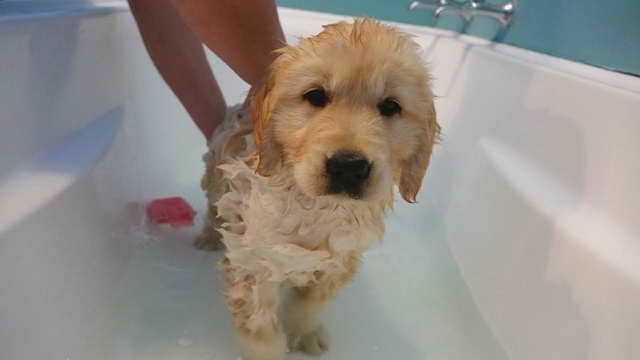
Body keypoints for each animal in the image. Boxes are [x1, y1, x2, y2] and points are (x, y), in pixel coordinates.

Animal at [200, 18, 440, 360]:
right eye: (315, 96)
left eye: (391, 106)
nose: (349, 166)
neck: (313, 207)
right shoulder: (255, 266)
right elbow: (262, 334)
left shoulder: (340, 260)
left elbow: (309, 304)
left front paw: (305, 333)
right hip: (216, 178)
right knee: (212, 209)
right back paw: (207, 237)